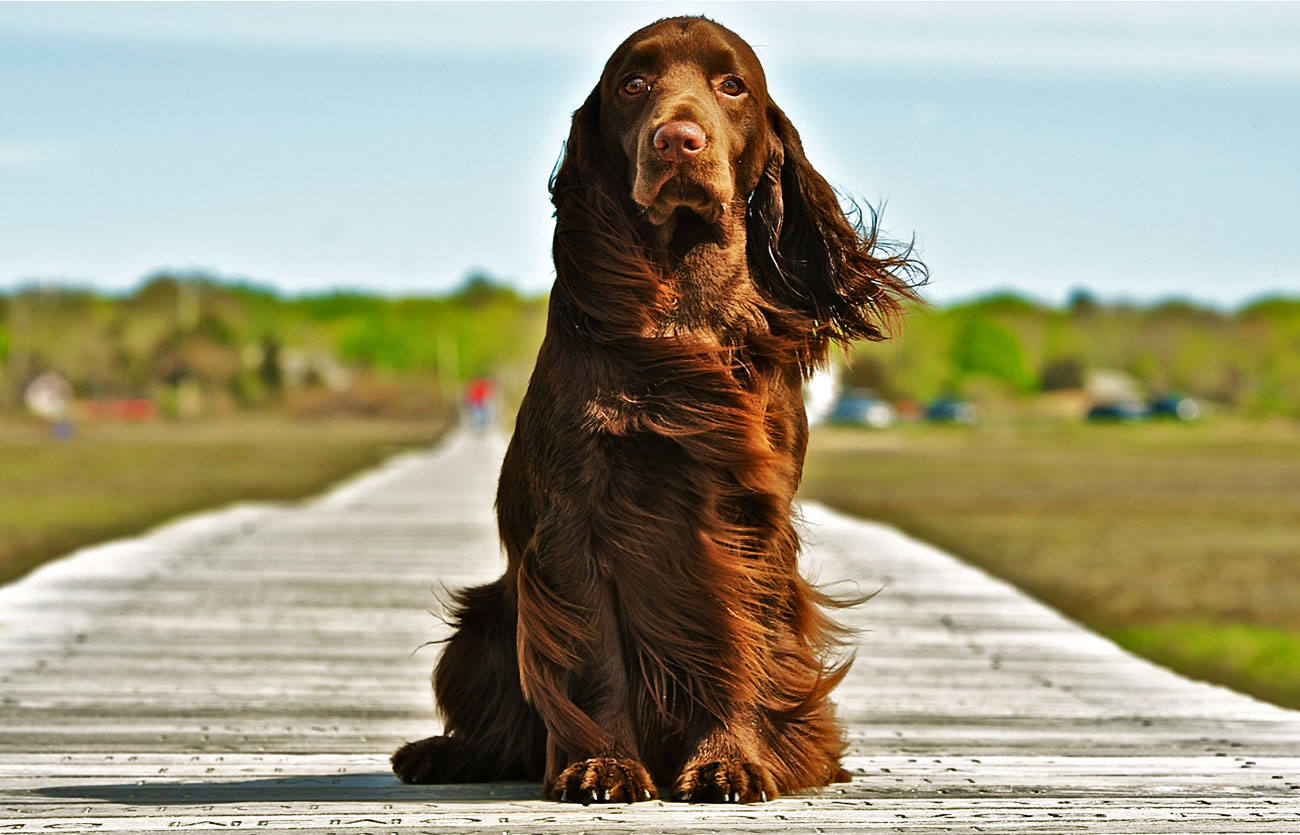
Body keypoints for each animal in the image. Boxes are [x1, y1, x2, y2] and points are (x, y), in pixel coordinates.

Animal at [390, 16, 920, 801]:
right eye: (634, 84)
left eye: (732, 85)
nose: (677, 140)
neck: (683, 304)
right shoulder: (576, 517)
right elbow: (595, 658)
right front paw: (603, 764)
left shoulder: (743, 520)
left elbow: (736, 643)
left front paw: (731, 761)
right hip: (480, 624)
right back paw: (440, 753)